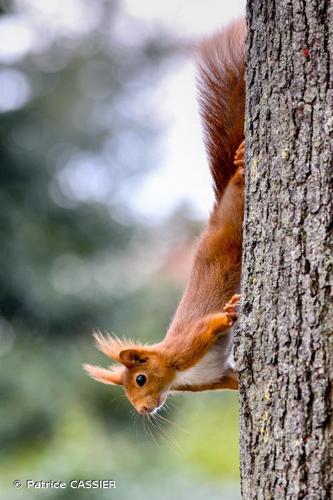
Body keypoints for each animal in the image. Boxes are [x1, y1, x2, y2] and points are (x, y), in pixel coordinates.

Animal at [83, 20, 244, 414]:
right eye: (128, 391)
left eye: (140, 379)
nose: (143, 409)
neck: (176, 370)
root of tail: (220, 202)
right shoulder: (214, 377)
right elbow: (233, 380)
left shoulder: (191, 341)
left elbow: (215, 321)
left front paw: (231, 310)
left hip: (233, 220)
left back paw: (242, 162)